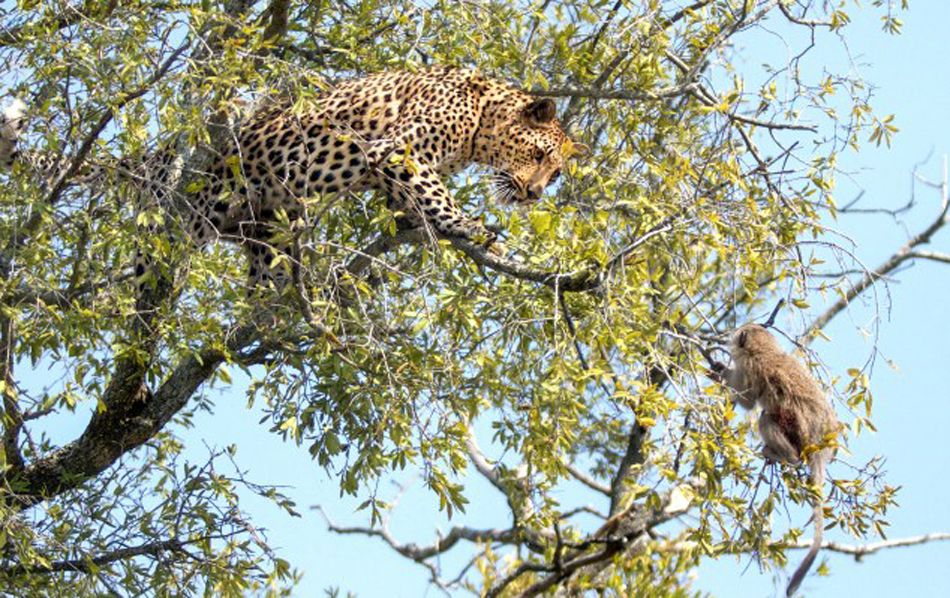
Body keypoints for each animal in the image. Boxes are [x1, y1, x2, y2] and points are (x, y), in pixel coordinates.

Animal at [0, 65, 588, 288]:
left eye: (556, 173)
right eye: (540, 157)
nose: (536, 194)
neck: (481, 121)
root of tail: (161, 152)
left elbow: (411, 197)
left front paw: (414, 223)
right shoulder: (397, 149)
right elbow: (435, 195)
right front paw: (469, 226)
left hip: (266, 223)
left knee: (264, 271)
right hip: (185, 209)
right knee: (153, 265)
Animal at [712, 326, 840, 596]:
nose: (730, 338)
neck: (764, 350)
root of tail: (819, 447)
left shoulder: (750, 367)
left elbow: (747, 400)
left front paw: (722, 374)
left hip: (796, 436)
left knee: (765, 417)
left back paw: (786, 457)